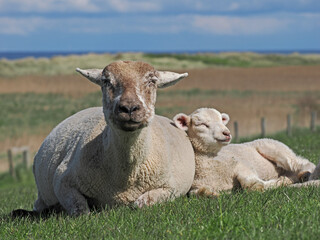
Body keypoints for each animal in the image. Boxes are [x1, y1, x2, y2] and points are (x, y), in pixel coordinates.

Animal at [31, 60, 195, 216]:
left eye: (152, 81)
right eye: (106, 81)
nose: (129, 108)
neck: (125, 176)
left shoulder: (171, 188)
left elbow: (141, 204)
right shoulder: (63, 181)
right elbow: (80, 210)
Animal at [174, 108, 318, 196]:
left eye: (222, 121)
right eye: (202, 124)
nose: (227, 133)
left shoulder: (242, 165)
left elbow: (255, 186)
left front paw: (279, 182)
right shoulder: (196, 186)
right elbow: (197, 193)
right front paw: (211, 194)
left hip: (277, 150)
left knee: (303, 163)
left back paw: (305, 175)